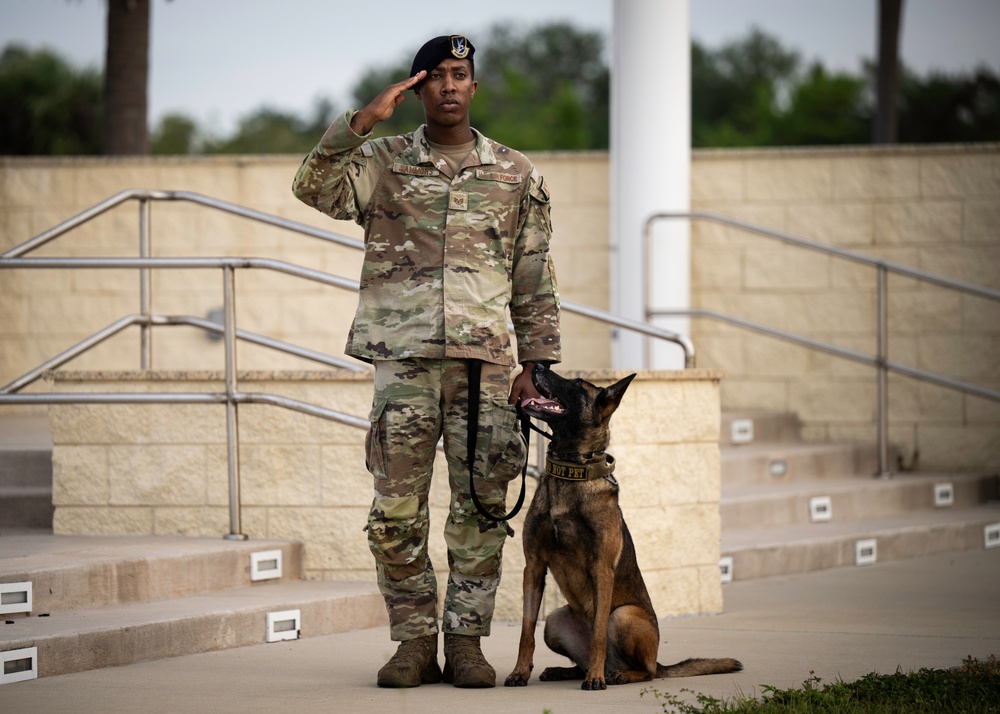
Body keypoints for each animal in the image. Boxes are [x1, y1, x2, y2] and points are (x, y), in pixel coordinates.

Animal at [504, 364, 740, 688]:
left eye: (576, 384)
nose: (535, 366)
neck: (571, 473)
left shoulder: (601, 569)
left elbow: (598, 634)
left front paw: (595, 679)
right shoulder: (534, 566)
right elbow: (526, 630)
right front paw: (519, 671)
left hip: (625, 615)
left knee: (646, 671)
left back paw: (615, 674)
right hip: (553, 621)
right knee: (579, 659)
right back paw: (566, 670)